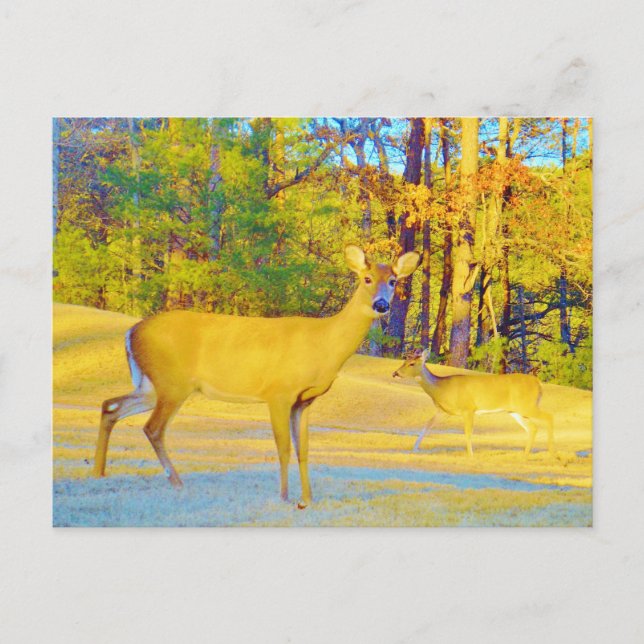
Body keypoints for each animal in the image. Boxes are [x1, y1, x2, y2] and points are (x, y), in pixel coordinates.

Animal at [94, 245, 420, 508]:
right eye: (367, 279)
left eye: (393, 281)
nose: (381, 305)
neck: (324, 345)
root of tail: (130, 332)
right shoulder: (279, 392)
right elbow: (284, 447)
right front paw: (285, 497)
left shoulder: (305, 400)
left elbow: (304, 449)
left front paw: (308, 498)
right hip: (172, 382)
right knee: (152, 428)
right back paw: (176, 481)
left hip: (152, 385)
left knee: (111, 406)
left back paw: (98, 472)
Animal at [392, 349, 554, 458]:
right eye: (404, 361)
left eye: (412, 363)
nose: (395, 373)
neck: (442, 389)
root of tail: (538, 383)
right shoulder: (444, 411)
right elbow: (427, 425)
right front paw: (414, 448)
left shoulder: (468, 408)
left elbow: (468, 431)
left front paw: (471, 454)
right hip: (516, 411)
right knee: (532, 428)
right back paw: (525, 453)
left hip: (528, 405)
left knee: (548, 417)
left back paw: (550, 450)